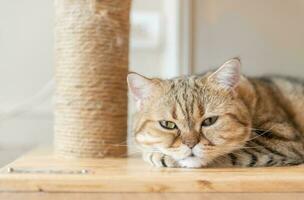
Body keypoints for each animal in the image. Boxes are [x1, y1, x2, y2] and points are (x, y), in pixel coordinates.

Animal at [126, 58, 304, 169]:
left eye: (209, 121)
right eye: (168, 124)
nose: (190, 144)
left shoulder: (284, 140)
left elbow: (235, 153)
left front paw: (158, 156)